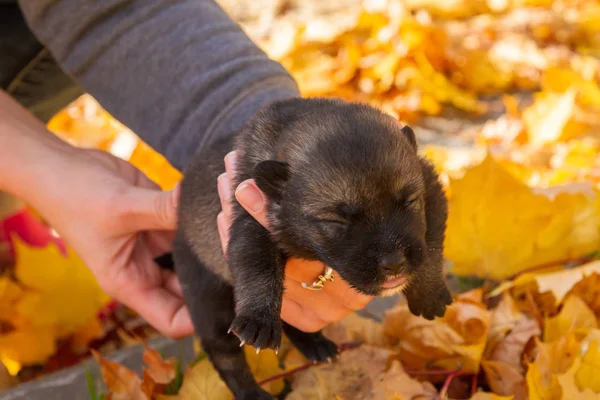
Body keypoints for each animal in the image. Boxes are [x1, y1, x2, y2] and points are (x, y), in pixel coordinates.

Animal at [171, 97, 452, 400]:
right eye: (335, 221)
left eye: (410, 201)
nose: (395, 262)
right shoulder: (252, 223)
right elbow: (258, 266)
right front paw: (258, 318)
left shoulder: (432, 188)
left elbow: (431, 245)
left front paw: (429, 293)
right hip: (208, 298)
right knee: (225, 356)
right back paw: (254, 393)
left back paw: (316, 346)